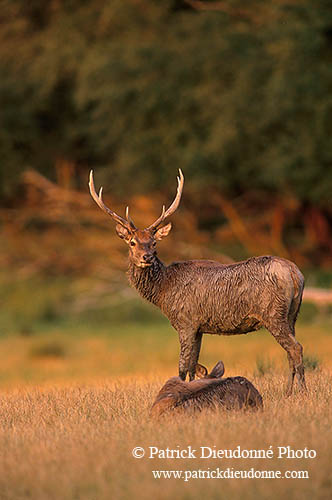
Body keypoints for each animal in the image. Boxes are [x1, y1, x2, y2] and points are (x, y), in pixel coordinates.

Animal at [88, 170, 306, 396]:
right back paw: (288, 392)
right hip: (292, 314)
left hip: (273, 313)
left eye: (154, 243)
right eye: (132, 242)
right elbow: (194, 367)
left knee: (295, 348)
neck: (163, 291)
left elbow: (183, 367)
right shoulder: (199, 327)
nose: (146, 257)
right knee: (291, 350)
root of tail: (294, 273)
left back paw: (302, 391)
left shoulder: (186, 322)